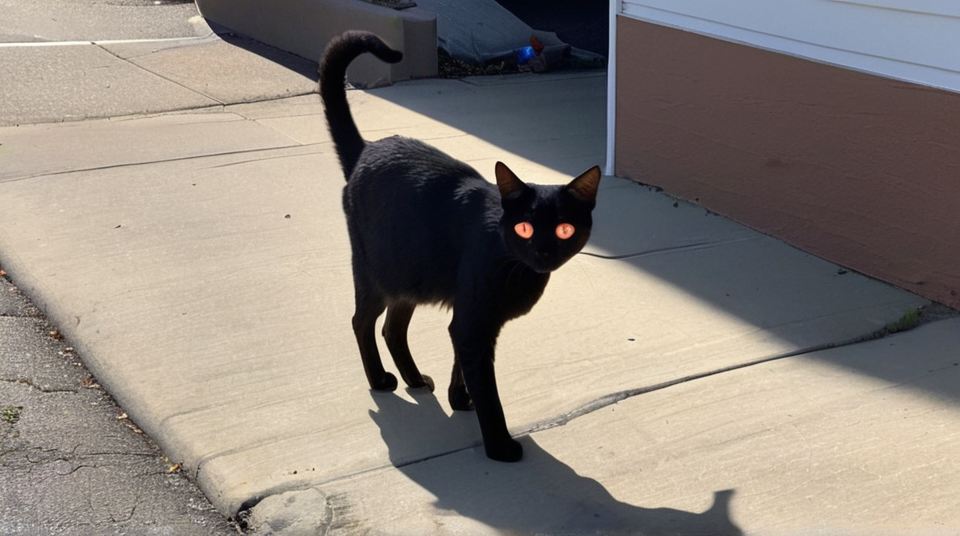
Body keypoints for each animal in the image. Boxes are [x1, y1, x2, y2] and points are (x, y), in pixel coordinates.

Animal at [320, 30, 600, 462]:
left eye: (565, 229)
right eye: (524, 228)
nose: (543, 251)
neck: (512, 264)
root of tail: (365, 150)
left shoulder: (474, 320)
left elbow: (460, 366)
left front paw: (459, 400)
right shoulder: (473, 322)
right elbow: (487, 389)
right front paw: (499, 445)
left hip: (411, 277)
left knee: (392, 329)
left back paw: (415, 379)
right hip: (377, 272)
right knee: (362, 322)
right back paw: (380, 380)